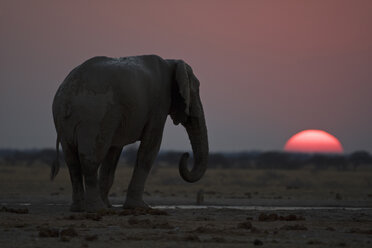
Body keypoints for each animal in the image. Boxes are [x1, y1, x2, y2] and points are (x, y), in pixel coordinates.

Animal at [51, 55, 209, 212]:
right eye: (196, 90)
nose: (186, 155)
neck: (171, 62)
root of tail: (67, 94)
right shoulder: (159, 104)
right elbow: (151, 146)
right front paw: (141, 207)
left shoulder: (118, 119)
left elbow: (113, 153)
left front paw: (110, 206)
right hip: (94, 116)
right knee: (91, 159)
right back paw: (97, 209)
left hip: (69, 121)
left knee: (72, 161)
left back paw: (80, 208)